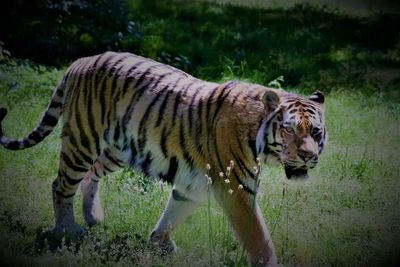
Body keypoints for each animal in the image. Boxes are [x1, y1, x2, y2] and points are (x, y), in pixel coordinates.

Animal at [0, 51, 328, 266]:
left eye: (315, 132)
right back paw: (67, 230)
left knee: (91, 175)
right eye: (288, 129)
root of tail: (81, 61)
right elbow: (259, 239)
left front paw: (159, 243)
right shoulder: (236, 190)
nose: (308, 156)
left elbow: (174, 211)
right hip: (83, 140)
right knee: (60, 184)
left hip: (117, 149)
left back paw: (94, 217)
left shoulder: (195, 184)